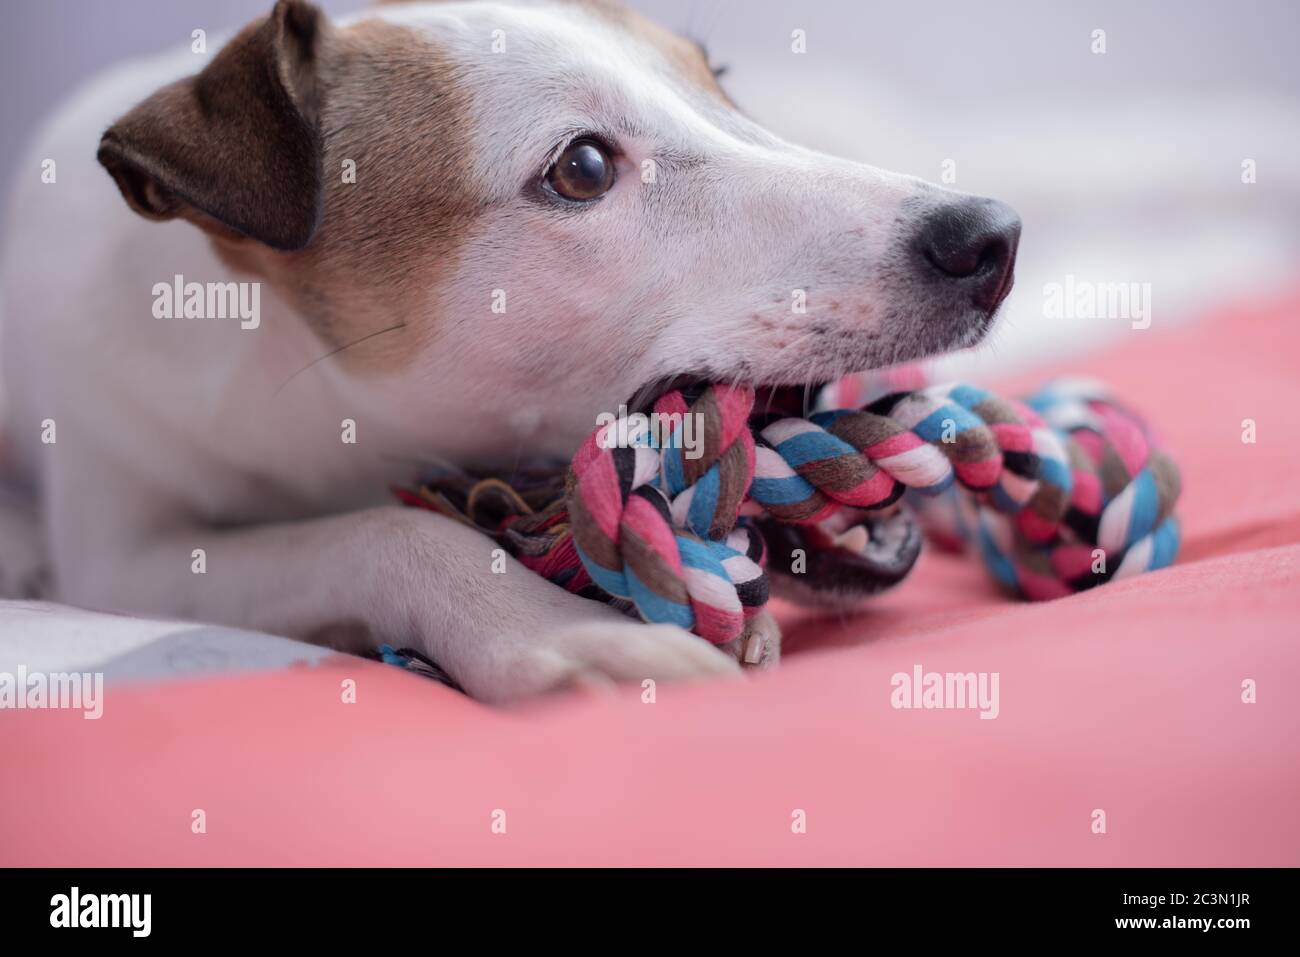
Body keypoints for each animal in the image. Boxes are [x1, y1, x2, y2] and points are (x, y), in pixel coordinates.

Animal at [0, 0, 1013, 702]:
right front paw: (551, 629)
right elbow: (389, 530)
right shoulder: (122, 557)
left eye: (716, 76)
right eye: (584, 168)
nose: (991, 238)